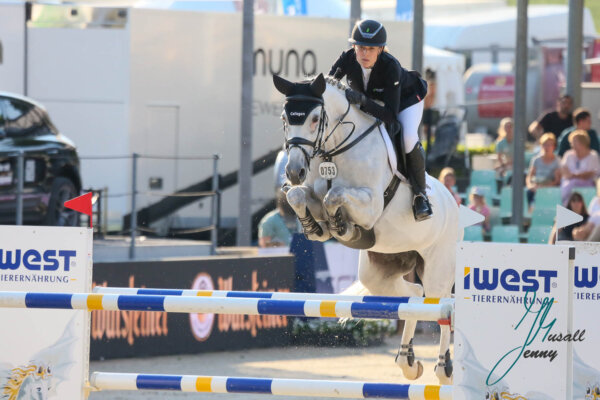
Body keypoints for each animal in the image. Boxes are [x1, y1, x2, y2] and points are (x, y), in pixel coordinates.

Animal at [274, 72, 460, 384]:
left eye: (315, 118)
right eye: (285, 118)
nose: (294, 171)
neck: (334, 152)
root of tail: (455, 204)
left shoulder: (370, 205)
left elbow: (334, 196)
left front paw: (343, 227)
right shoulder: (309, 193)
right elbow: (297, 196)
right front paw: (316, 227)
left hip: (437, 267)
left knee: (441, 306)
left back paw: (444, 369)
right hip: (380, 270)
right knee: (413, 295)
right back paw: (408, 363)